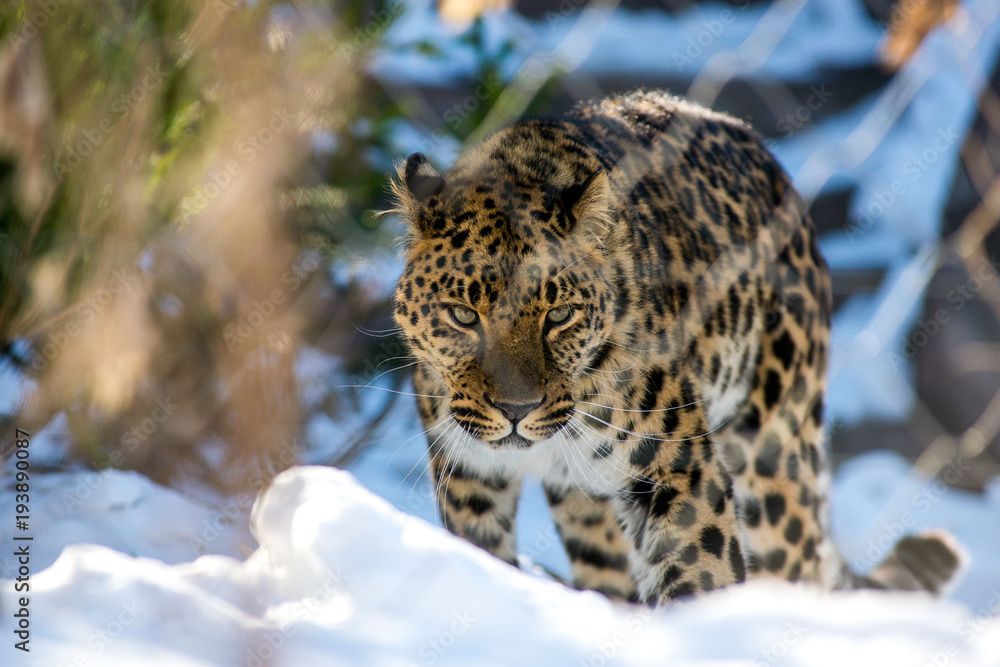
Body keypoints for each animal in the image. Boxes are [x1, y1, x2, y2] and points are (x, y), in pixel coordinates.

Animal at [389, 89, 964, 605]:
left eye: (558, 315)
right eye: (464, 315)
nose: (516, 410)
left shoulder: (680, 469)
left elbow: (700, 571)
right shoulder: (470, 478)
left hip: (773, 460)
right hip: (586, 508)